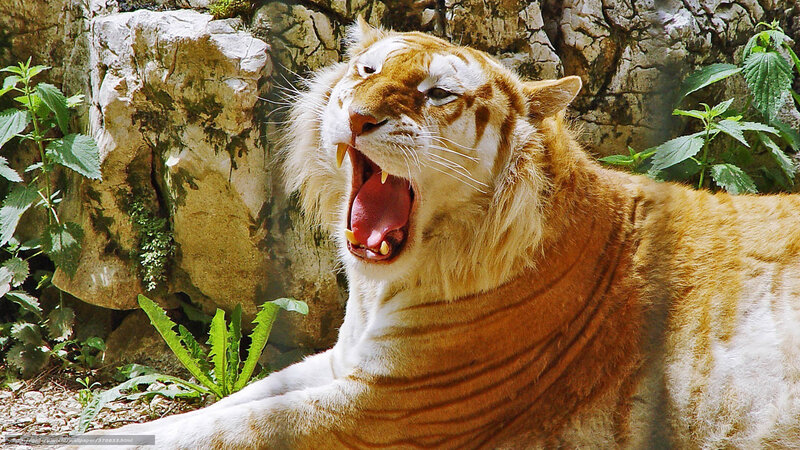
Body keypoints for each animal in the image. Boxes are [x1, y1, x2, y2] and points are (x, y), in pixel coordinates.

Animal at [79, 18, 800, 449]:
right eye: (368, 72)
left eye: (437, 94)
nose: (358, 115)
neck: (380, 287)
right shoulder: (345, 363)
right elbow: (226, 406)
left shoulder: (392, 407)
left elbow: (237, 427)